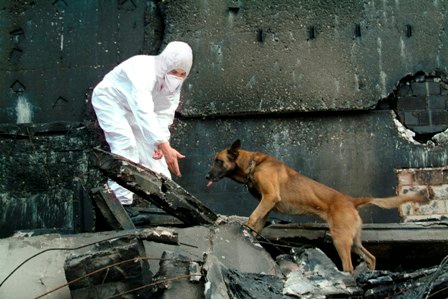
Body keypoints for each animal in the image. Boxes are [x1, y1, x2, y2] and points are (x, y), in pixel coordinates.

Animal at [206, 141, 428, 274]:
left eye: (219, 161)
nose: (206, 176)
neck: (254, 164)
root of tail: (351, 200)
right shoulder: (267, 205)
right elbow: (257, 223)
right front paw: (251, 237)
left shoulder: (269, 197)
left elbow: (252, 217)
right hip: (353, 240)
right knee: (371, 257)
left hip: (340, 239)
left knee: (348, 266)